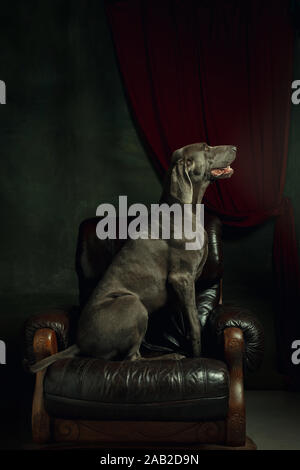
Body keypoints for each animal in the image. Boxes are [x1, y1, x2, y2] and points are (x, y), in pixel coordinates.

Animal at [30, 141, 237, 372]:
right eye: (206, 147)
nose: (235, 148)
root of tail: (79, 342)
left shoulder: (186, 286)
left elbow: (186, 322)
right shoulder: (181, 278)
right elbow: (194, 326)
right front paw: (197, 356)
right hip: (132, 303)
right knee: (131, 358)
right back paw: (170, 357)